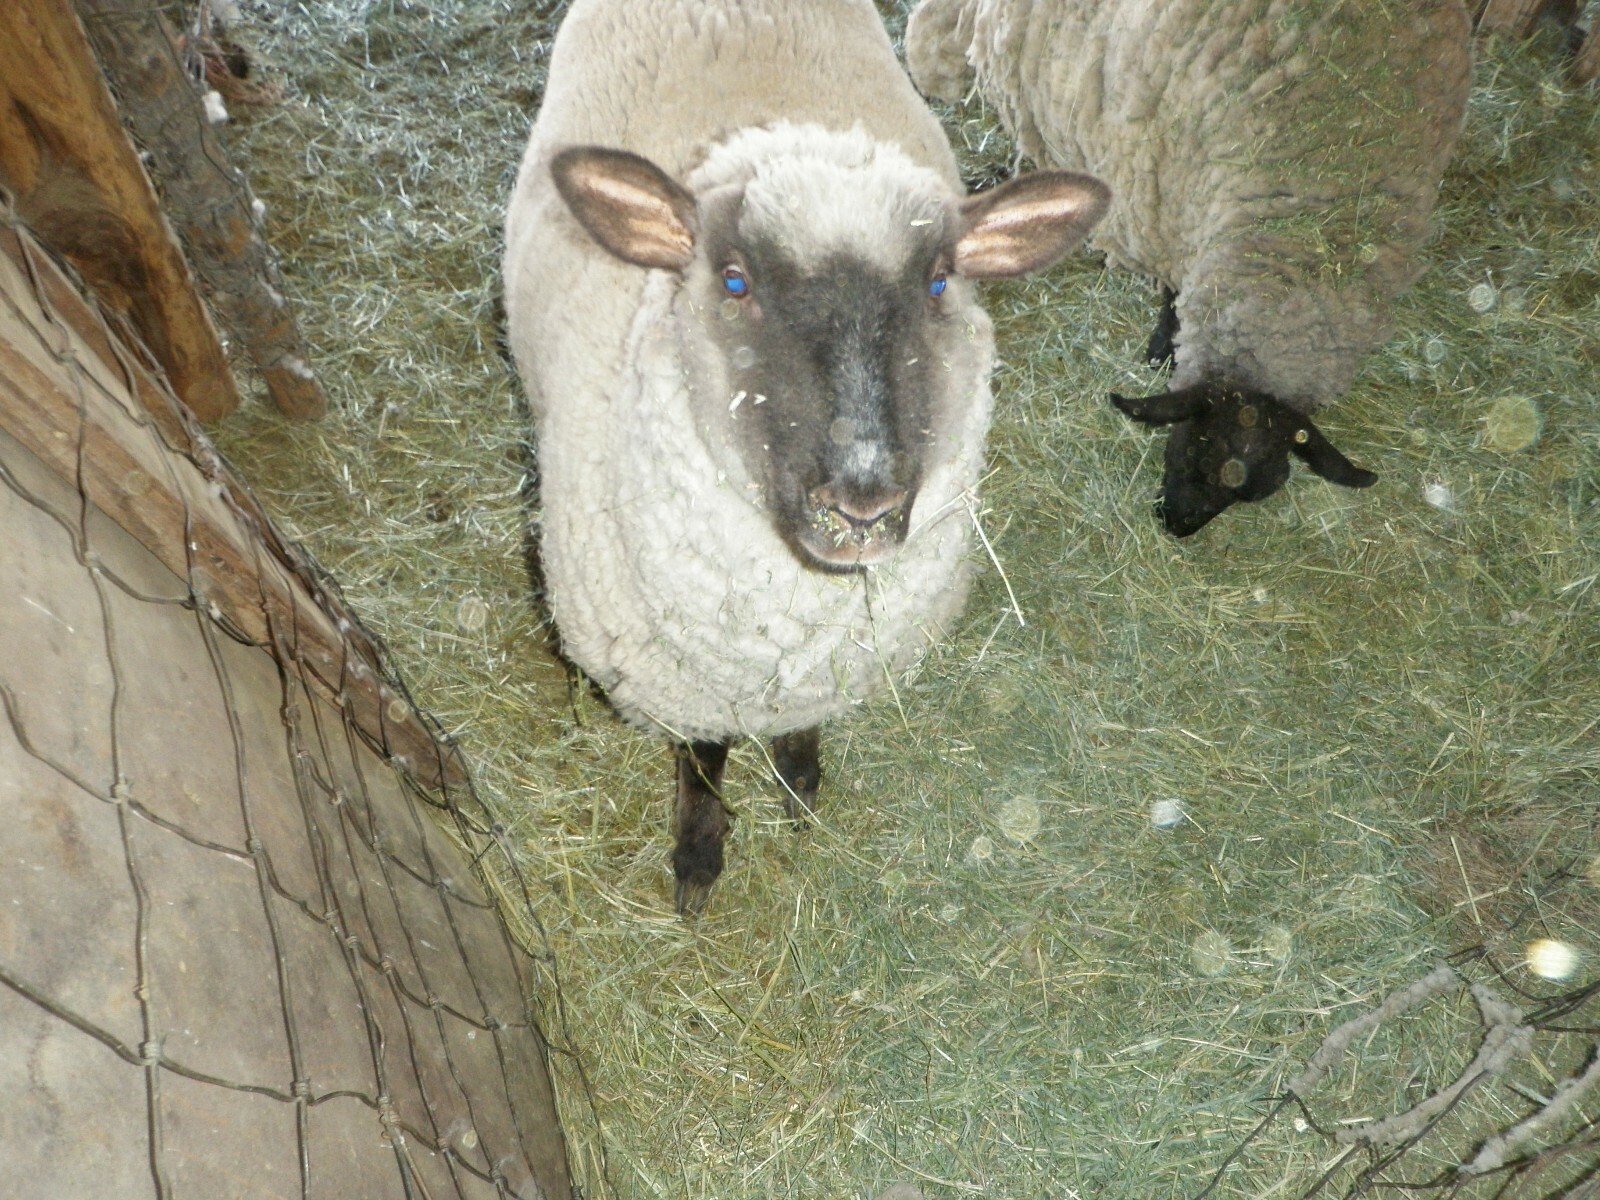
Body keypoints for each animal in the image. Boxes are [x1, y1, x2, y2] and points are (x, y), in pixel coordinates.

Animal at [502, 0, 1109, 912]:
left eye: (939, 281)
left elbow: (801, 736)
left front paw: (799, 787)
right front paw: (699, 853)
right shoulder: (692, 681)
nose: (861, 504)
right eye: (734, 280)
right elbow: (703, 760)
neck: (783, 631)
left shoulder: (823, 666)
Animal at [905, 0, 1474, 536]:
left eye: (1253, 493)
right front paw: (1162, 347)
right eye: (1196, 447)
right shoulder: (1163, 206)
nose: (1176, 527)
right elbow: (1171, 294)